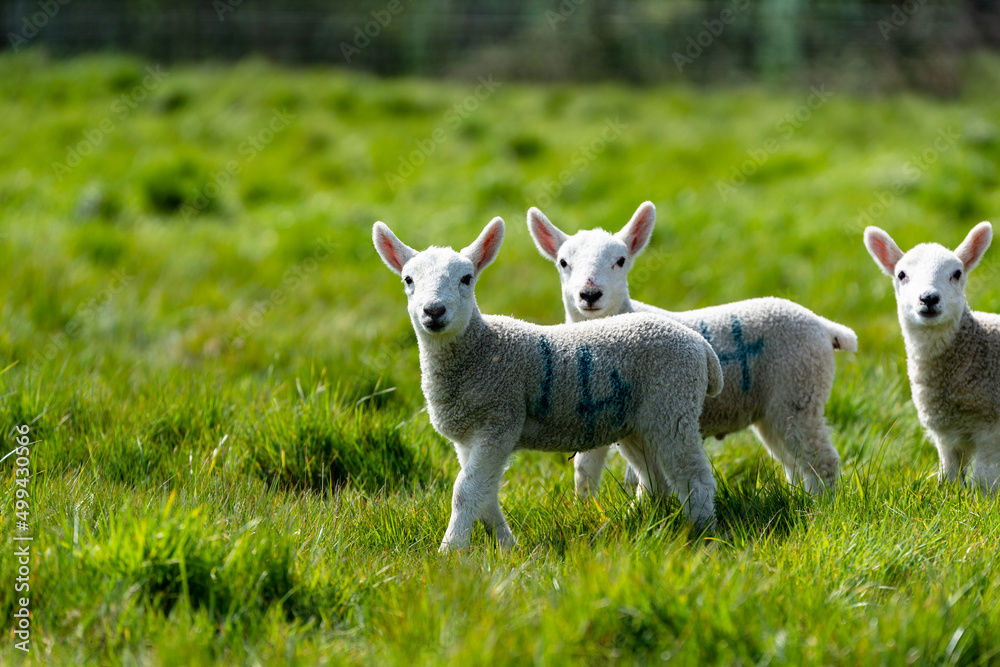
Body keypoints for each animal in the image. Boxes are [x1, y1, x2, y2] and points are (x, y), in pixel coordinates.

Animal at [373, 216, 724, 551]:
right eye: (408, 280)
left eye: (466, 279)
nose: (434, 311)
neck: (482, 349)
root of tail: (700, 345)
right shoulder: (468, 435)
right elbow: (484, 494)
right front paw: (506, 546)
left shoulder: (499, 421)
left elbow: (465, 490)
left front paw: (450, 550)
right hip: (639, 422)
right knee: (655, 481)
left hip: (673, 407)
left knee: (695, 478)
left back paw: (702, 533)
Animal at [527, 201, 857, 496]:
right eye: (563, 263)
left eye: (620, 260)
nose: (590, 294)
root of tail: (822, 324)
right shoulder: (595, 407)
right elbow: (585, 469)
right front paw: (586, 508)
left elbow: (636, 475)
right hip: (774, 408)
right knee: (794, 461)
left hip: (799, 390)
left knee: (821, 460)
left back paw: (822, 507)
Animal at [863, 222, 1000, 491]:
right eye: (901, 275)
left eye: (957, 273)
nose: (928, 298)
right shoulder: (947, 435)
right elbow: (950, 475)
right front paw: (949, 492)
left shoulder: (991, 429)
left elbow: (983, 482)